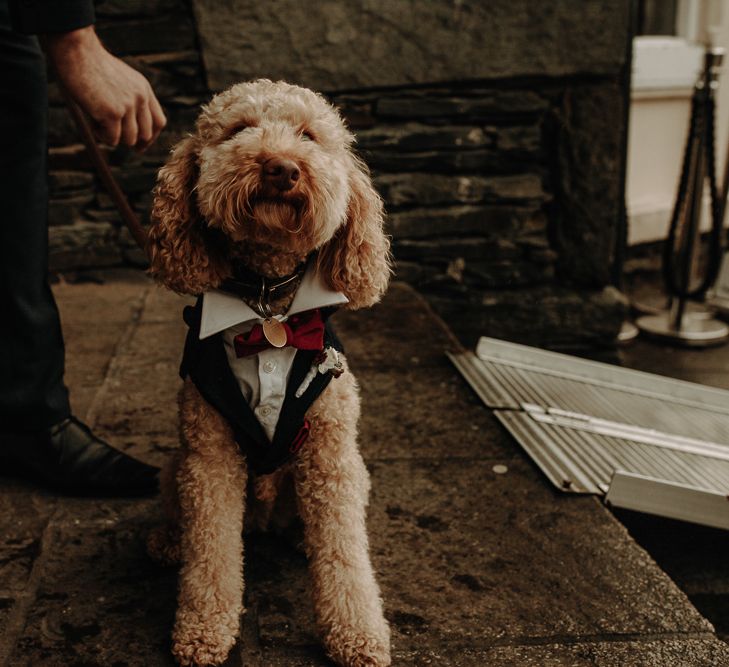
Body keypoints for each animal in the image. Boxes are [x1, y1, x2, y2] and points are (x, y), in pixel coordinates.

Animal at [144, 79, 390, 667]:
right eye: (238, 129)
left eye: (309, 135)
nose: (281, 167)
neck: (267, 308)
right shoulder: (208, 459)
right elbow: (210, 553)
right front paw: (203, 629)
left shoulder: (331, 456)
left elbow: (345, 553)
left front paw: (359, 632)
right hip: (177, 464)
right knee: (180, 514)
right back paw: (168, 540)